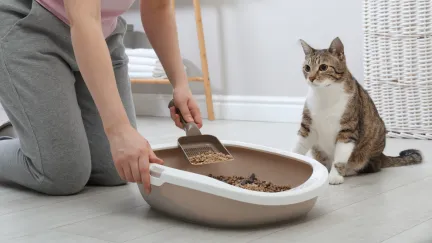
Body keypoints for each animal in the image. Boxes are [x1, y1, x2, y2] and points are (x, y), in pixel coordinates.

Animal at [290, 36, 422, 184]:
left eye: (323, 67)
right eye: (307, 68)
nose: (311, 78)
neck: (325, 95)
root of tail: (382, 155)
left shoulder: (348, 130)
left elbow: (340, 157)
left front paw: (335, 176)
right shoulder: (307, 127)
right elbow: (298, 147)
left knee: (371, 166)